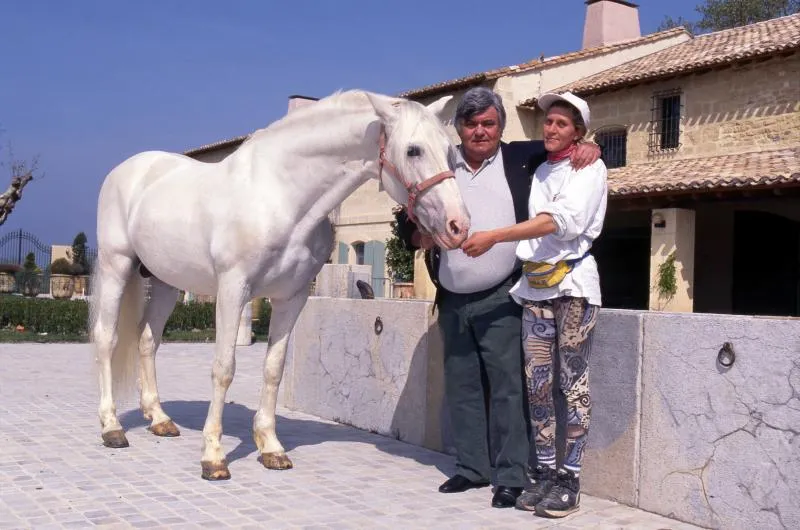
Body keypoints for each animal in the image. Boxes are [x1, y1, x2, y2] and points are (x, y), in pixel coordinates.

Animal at [91, 89, 472, 478]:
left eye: (450, 150)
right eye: (413, 150)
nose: (458, 225)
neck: (281, 196)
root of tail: (127, 170)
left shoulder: (291, 298)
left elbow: (273, 369)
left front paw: (270, 448)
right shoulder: (233, 290)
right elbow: (224, 369)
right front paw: (213, 456)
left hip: (167, 282)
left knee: (147, 341)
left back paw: (159, 418)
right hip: (116, 265)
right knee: (107, 338)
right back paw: (112, 427)